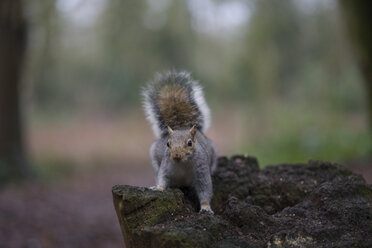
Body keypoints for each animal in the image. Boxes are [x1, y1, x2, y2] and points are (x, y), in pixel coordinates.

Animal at [142, 70, 218, 214]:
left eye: (190, 143)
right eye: (168, 144)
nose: (176, 155)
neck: (183, 164)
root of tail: (181, 126)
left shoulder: (202, 170)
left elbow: (205, 189)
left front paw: (206, 207)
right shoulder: (166, 165)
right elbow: (162, 177)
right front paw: (159, 188)